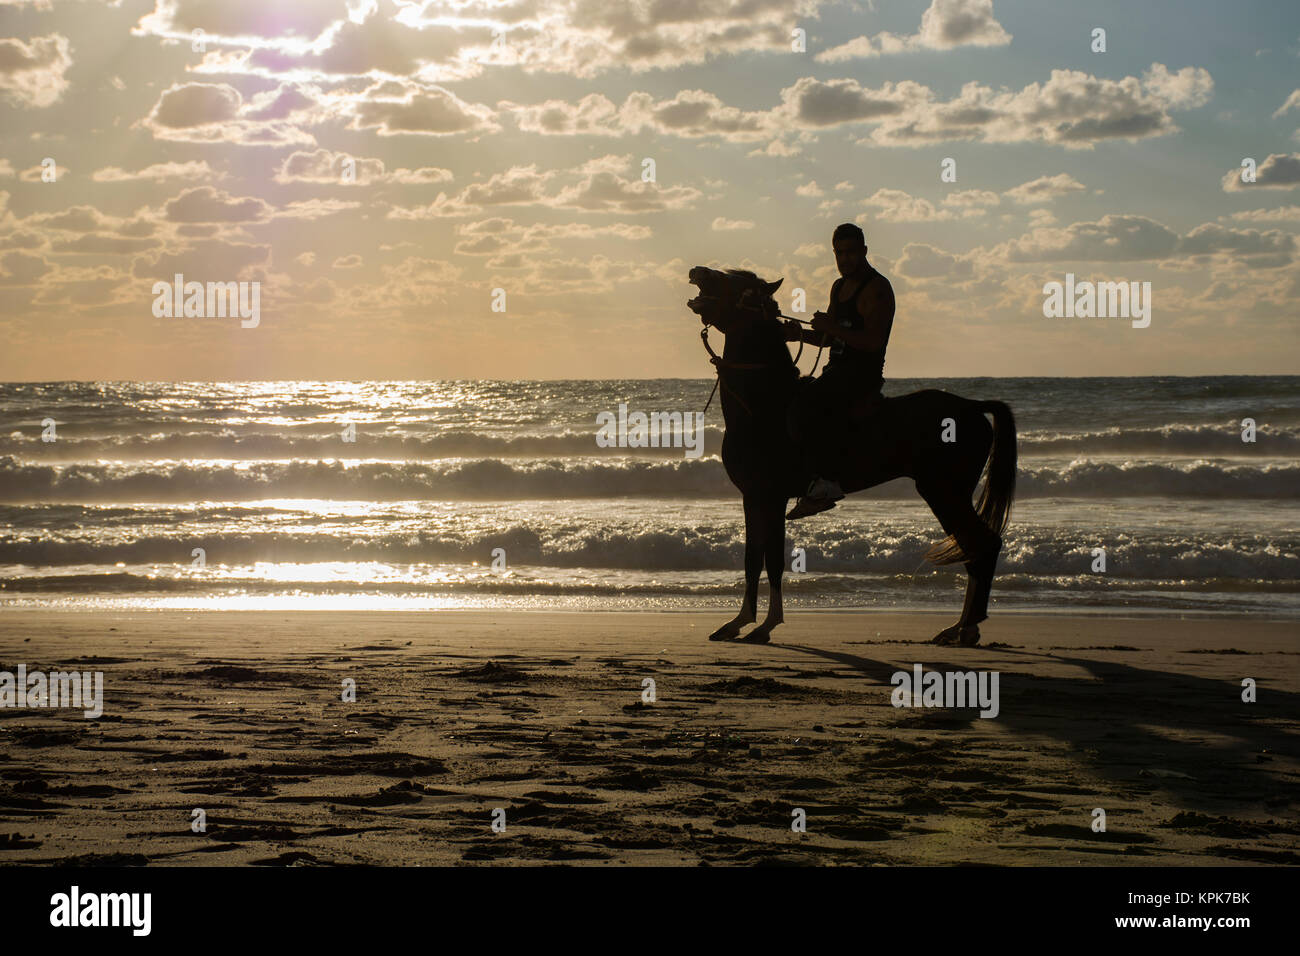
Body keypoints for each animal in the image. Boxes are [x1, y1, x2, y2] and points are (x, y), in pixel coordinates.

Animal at [686, 265, 1019, 647]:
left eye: (738, 286)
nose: (697, 271)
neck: (766, 404)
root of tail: (972, 407)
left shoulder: (771, 497)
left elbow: (773, 561)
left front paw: (767, 625)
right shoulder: (752, 496)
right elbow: (752, 559)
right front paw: (738, 622)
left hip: (944, 492)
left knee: (983, 546)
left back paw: (966, 627)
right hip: (944, 492)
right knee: (973, 548)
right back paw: (960, 627)